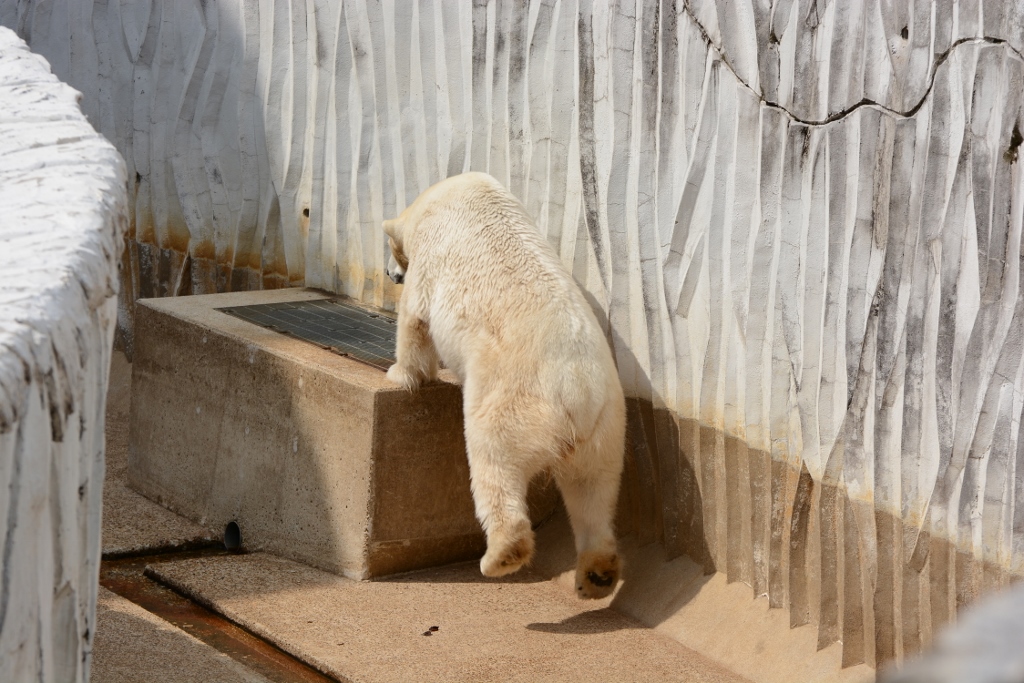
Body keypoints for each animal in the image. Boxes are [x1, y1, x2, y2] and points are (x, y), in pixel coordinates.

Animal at [382, 174, 622, 602]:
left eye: (392, 250)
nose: (389, 273)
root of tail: (577, 390)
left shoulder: (431, 255)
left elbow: (416, 319)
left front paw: (399, 374)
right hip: (605, 429)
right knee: (592, 490)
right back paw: (596, 574)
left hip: (514, 402)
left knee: (493, 460)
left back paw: (500, 555)